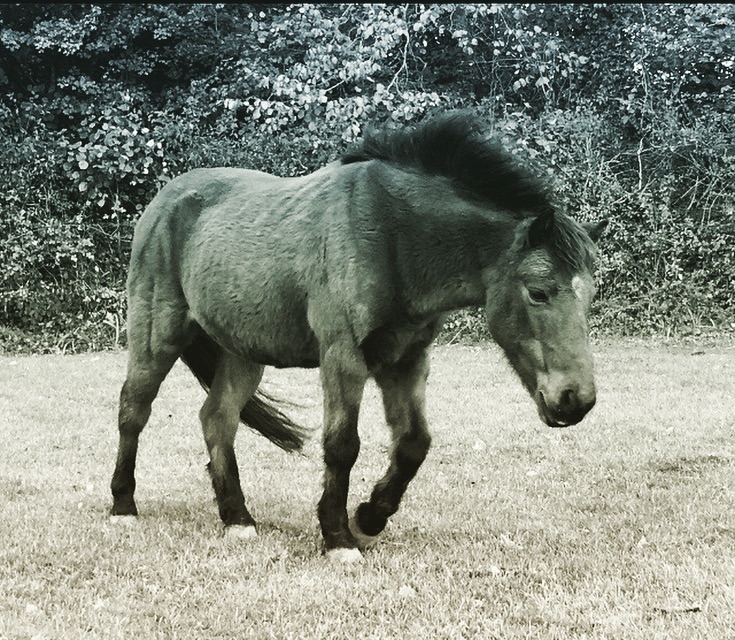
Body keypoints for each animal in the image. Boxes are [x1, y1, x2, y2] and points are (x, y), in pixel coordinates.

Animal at [108, 110, 604, 560]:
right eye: (538, 292)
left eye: (590, 295)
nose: (575, 400)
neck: (394, 233)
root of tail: (164, 201)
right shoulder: (343, 356)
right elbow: (342, 446)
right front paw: (338, 538)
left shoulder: (406, 359)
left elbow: (414, 444)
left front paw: (368, 517)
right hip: (157, 334)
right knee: (134, 411)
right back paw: (123, 507)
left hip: (243, 352)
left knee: (217, 418)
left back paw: (238, 519)